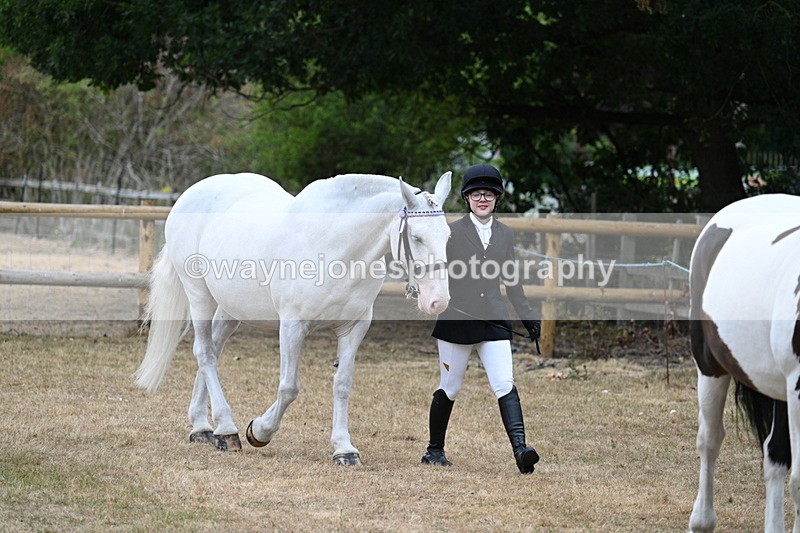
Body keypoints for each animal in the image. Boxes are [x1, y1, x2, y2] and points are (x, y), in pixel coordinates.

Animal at [134, 171, 452, 465]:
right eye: (416, 237)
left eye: (447, 236)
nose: (438, 301)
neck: (337, 247)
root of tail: (189, 194)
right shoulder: (292, 325)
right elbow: (289, 388)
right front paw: (259, 431)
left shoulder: (354, 327)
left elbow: (342, 384)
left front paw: (344, 449)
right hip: (199, 294)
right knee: (204, 352)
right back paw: (227, 430)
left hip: (231, 308)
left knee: (212, 349)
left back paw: (201, 426)